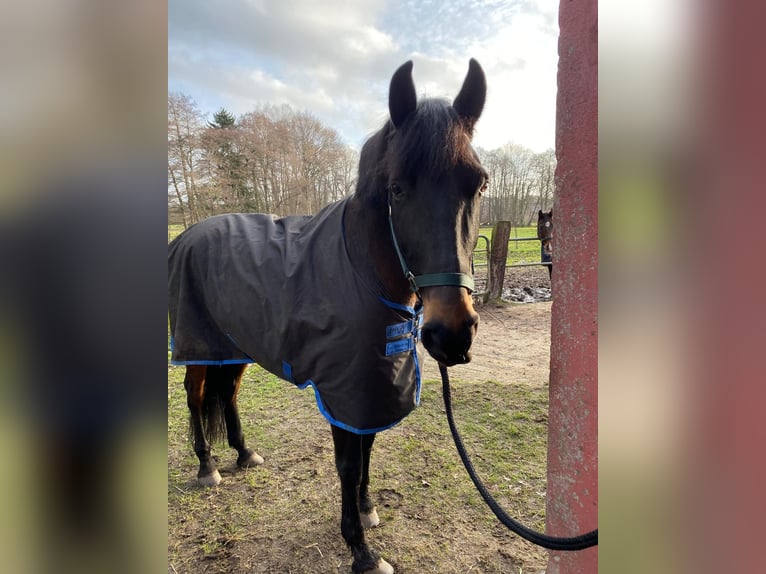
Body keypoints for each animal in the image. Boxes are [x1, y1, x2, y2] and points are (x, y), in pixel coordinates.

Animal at [168, 59, 487, 574]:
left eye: (478, 183)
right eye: (397, 188)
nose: (452, 334)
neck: (362, 270)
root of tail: (186, 235)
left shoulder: (372, 386)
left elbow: (369, 446)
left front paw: (367, 508)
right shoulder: (343, 389)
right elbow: (349, 464)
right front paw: (361, 550)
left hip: (233, 347)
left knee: (227, 393)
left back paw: (243, 453)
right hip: (198, 345)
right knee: (196, 397)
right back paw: (206, 466)